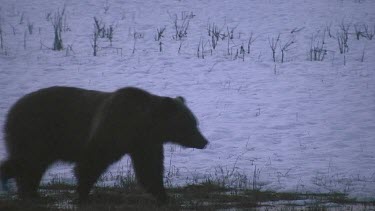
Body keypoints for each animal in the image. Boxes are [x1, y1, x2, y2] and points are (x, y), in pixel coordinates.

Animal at [0, 85, 209, 203]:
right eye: (190, 123)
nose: (204, 141)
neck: (142, 124)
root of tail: (13, 108)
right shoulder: (112, 129)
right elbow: (93, 161)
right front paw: (83, 193)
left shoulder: (144, 143)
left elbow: (150, 168)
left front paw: (163, 195)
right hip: (37, 132)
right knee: (28, 161)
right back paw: (26, 190)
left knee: (31, 165)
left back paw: (30, 192)